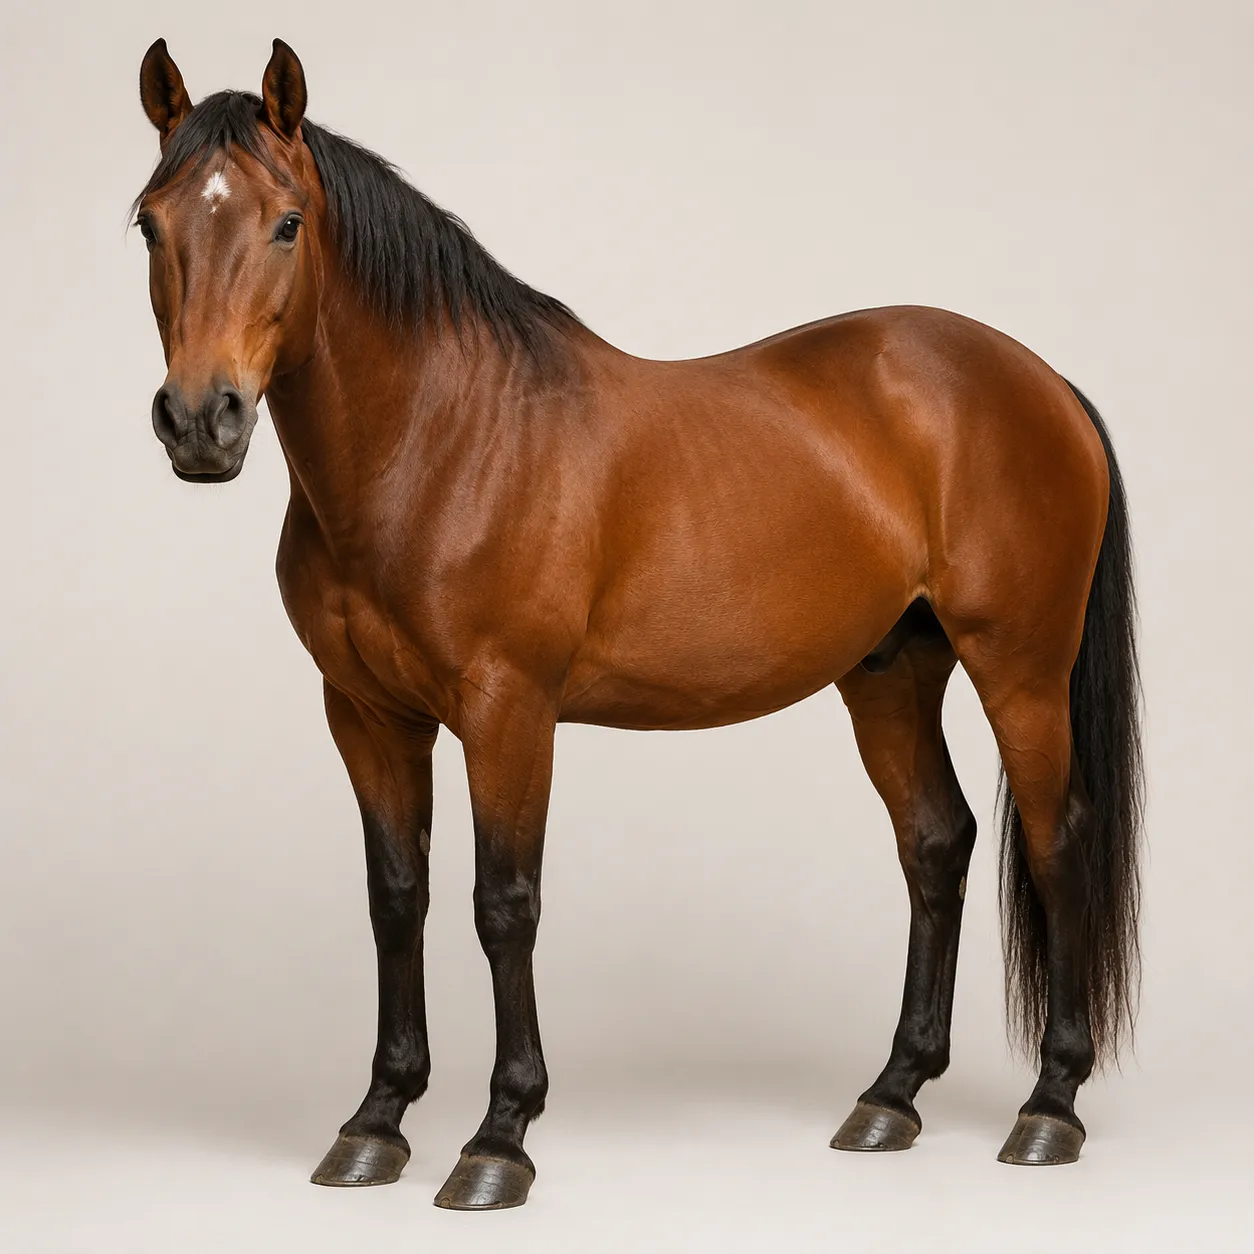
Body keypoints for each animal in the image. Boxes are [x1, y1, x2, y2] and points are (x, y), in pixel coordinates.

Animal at [133, 37, 1143, 1210]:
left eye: (287, 222)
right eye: (150, 222)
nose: (200, 421)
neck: (440, 441)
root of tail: (1040, 381)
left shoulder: (508, 712)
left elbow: (502, 903)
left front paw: (499, 1138)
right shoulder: (366, 716)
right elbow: (397, 899)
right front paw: (377, 1120)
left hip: (1019, 671)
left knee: (1055, 842)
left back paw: (1049, 1106)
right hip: (891, 675)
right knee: (937, 845)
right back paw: (891, 1097)